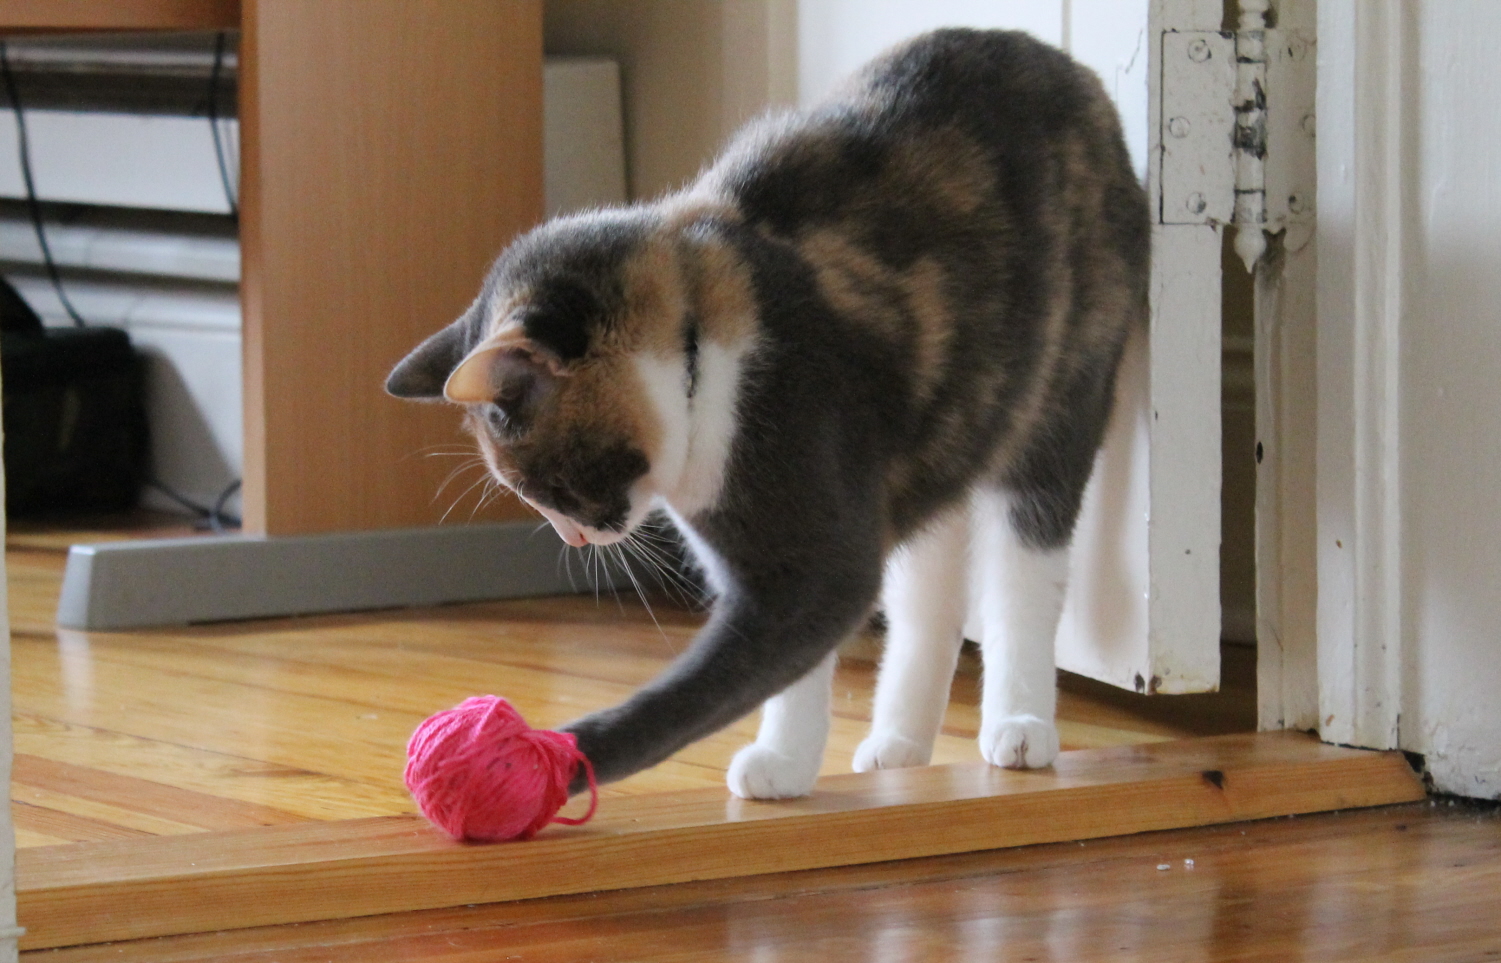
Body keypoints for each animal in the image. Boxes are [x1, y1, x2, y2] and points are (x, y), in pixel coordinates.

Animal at [387, 28, 1146, 792]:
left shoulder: (811, 529)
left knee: (1026, 570)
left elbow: (721, 677)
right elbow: (798, 665)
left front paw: (549, 759)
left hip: (1059, 394)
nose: (574, 538)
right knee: (928, 597)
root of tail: (1062, 64)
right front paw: (785, 762)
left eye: (545, 481)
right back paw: (897, 744)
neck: (699, 348)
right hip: (941, 436)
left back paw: (1019, 725)